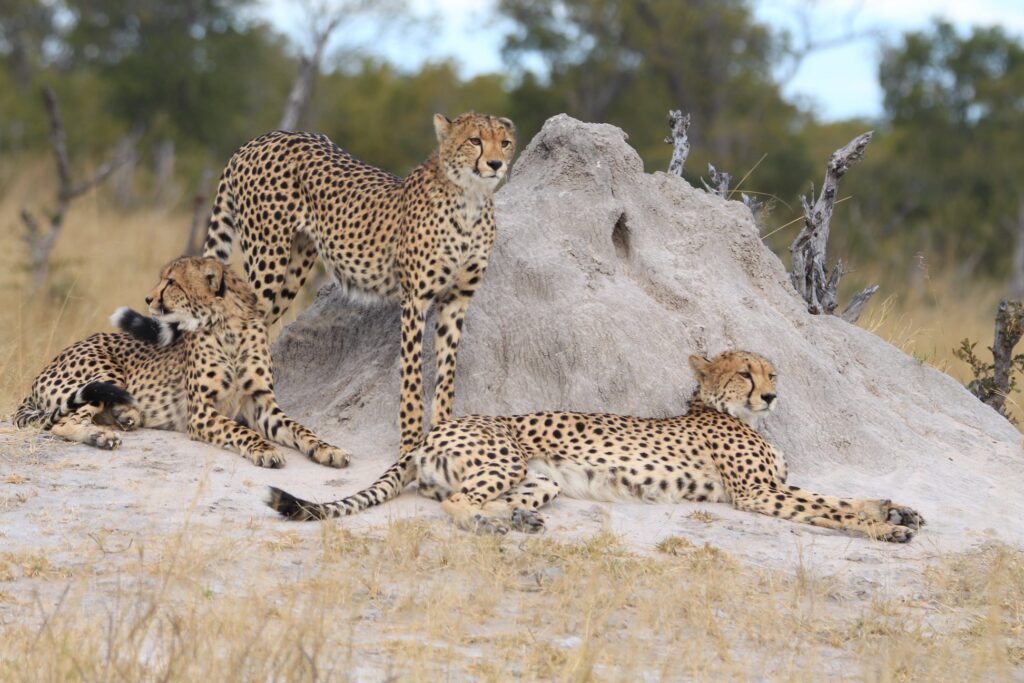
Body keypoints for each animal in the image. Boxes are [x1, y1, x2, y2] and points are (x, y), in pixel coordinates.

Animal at [12, 255, 348, 471]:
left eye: (171, 282)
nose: (148, 299)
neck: (228, 327)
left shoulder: (261, 403)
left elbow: (300, 428)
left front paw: (328, 449)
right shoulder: (200, 412)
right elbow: (241, 431)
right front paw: (264, 449)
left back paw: (125, 416)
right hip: (104, 374)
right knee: (63, 422)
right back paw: (101, 435)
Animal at [202, 112, 516, 454]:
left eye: (505, 142)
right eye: (475, 140)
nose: (496, 164)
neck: (469, 201)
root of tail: (260, 138)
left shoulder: (456, 300)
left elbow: (447, 373)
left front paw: (442, 432)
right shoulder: (415, 299)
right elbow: (411, 374)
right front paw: (409, 443)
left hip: (294, 267)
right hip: (267, 259)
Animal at [268, 352, 925, 544]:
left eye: (772, 373)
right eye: (746, 374)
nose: (770, 395)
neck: (722, 410)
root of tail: (431, 430)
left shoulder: (773, 487)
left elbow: (841, 496)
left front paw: (900, 509)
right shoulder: (759, 495)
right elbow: (827, 507)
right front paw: (884, 528)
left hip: (542, 478)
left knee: (488, 500)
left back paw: (518, 520)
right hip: (505, 457)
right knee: (456, 507)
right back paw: (496, 526)